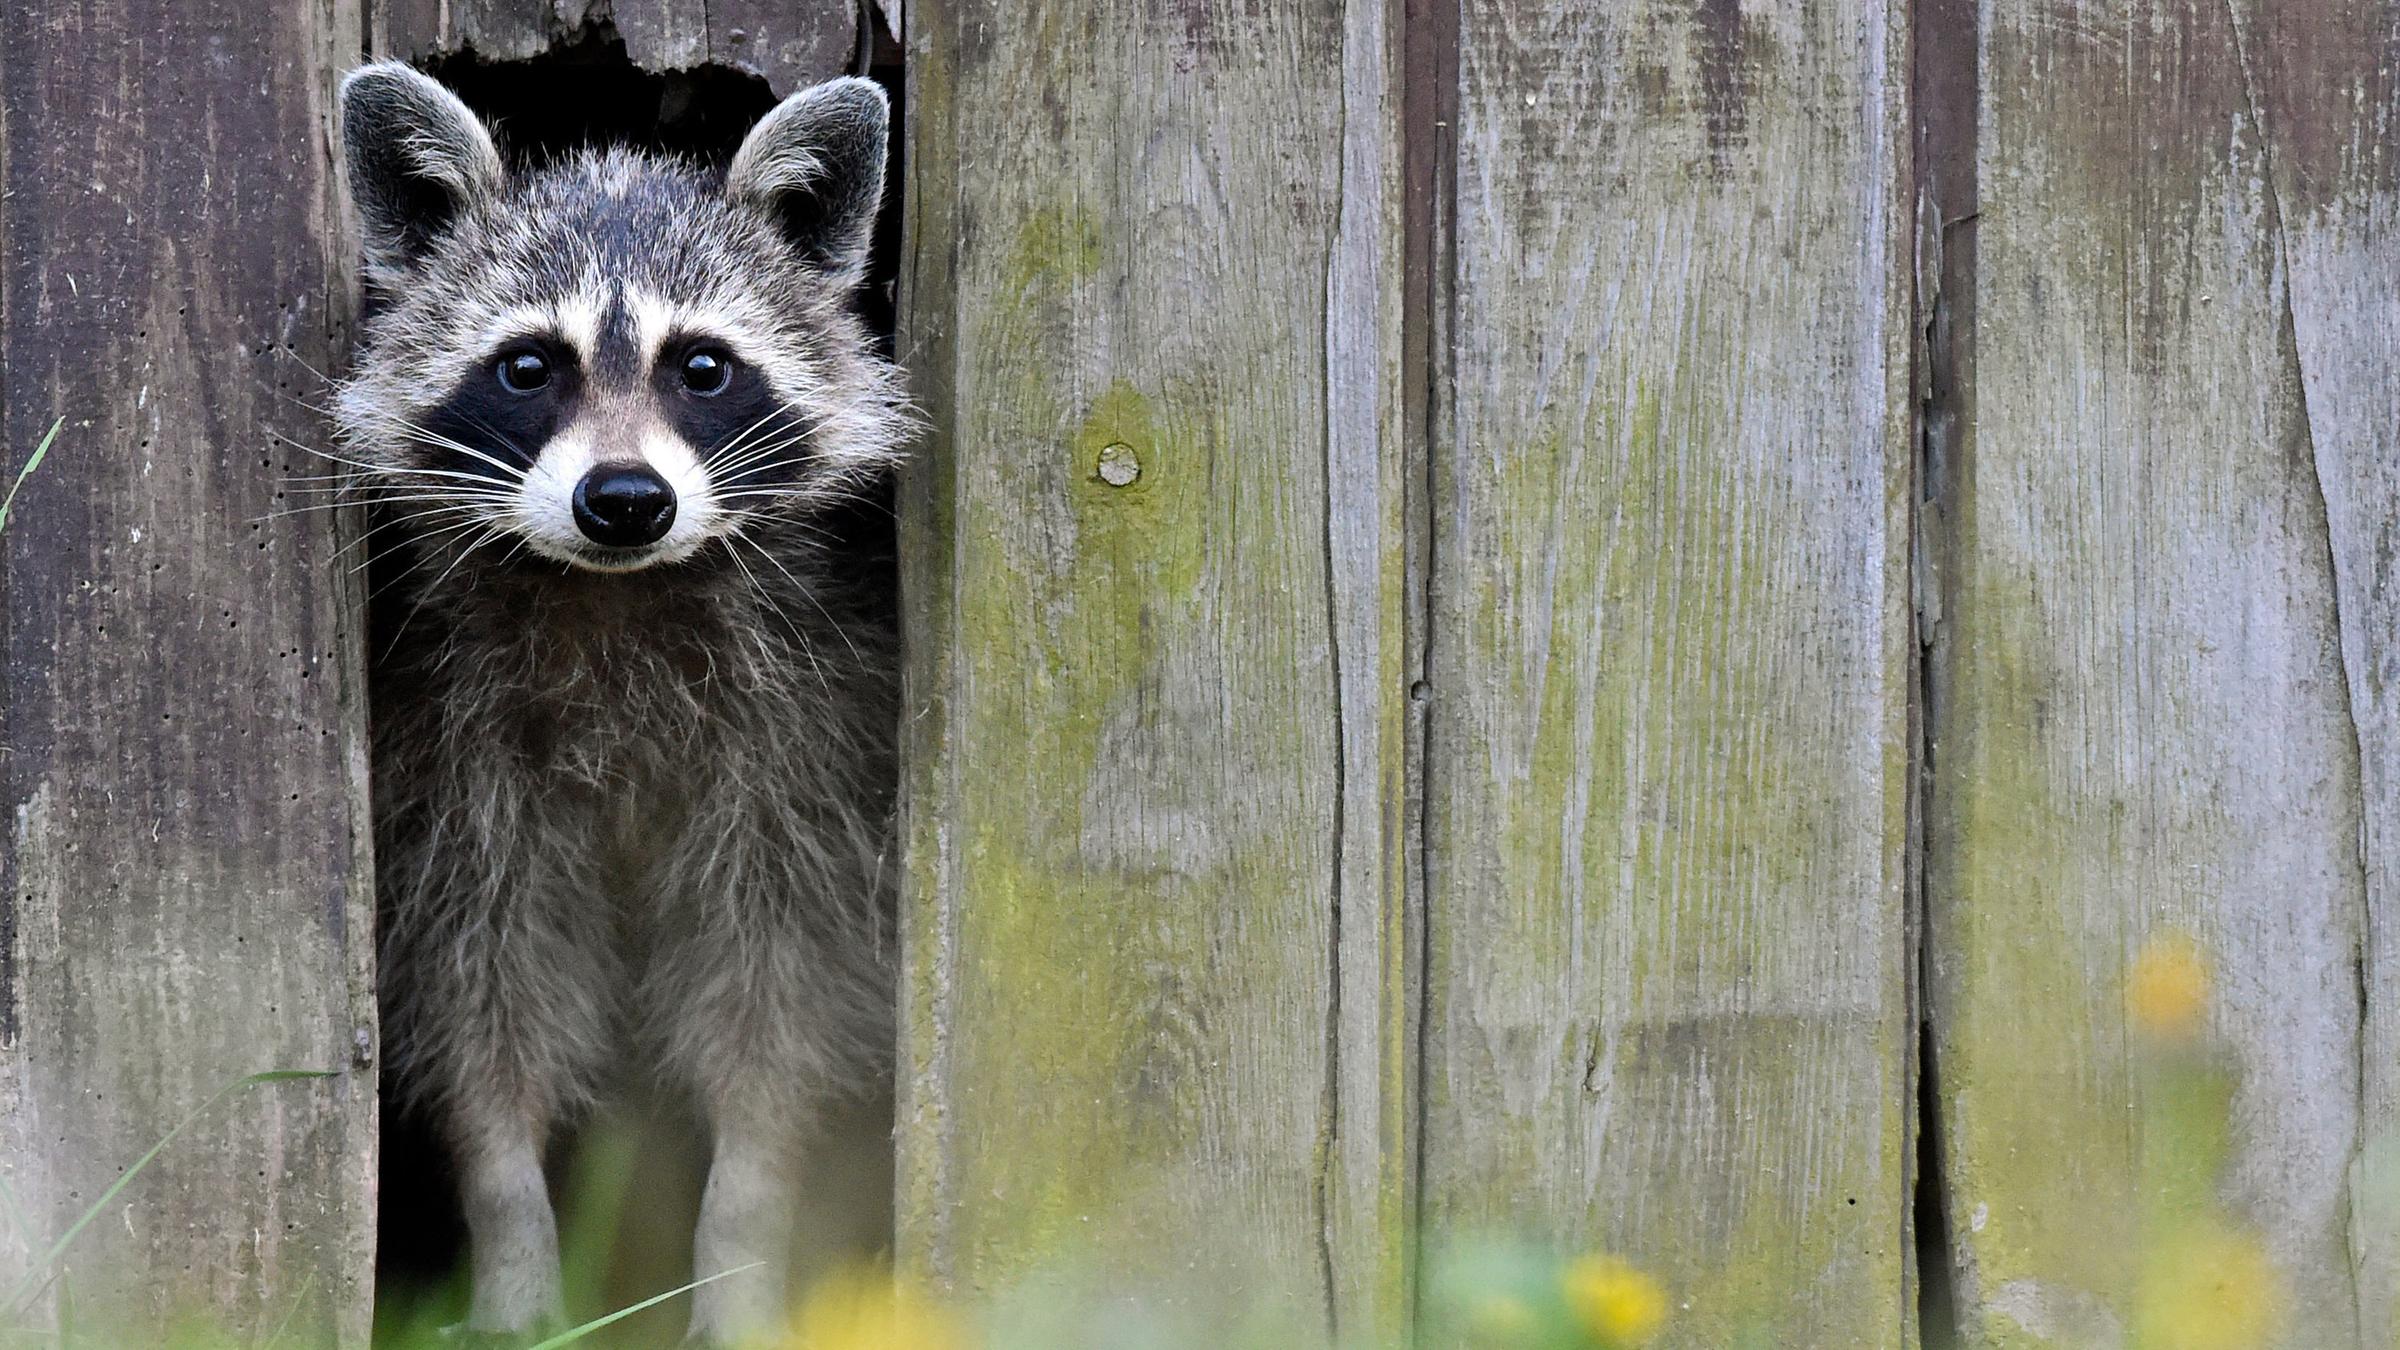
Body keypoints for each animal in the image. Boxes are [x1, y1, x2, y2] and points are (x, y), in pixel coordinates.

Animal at [333, 65, 902, 1345]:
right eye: (527, 367)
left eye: (704, 368)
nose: (627, 499)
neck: (615, 593)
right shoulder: (452, 773)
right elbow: (483, 1000)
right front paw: (509, 1228)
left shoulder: (808, 758)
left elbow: (776, 1006)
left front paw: (744, 1236)